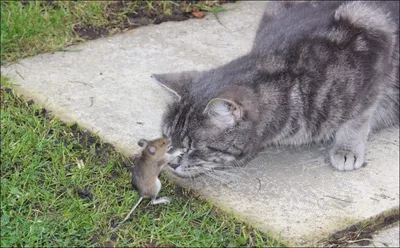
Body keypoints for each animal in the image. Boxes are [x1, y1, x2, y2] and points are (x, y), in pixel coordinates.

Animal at [152, 0, 398, 178]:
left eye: (194, 147)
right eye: (166, 138)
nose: (171, 163)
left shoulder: (374, 35)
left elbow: (359, 116)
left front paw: (347, 148)